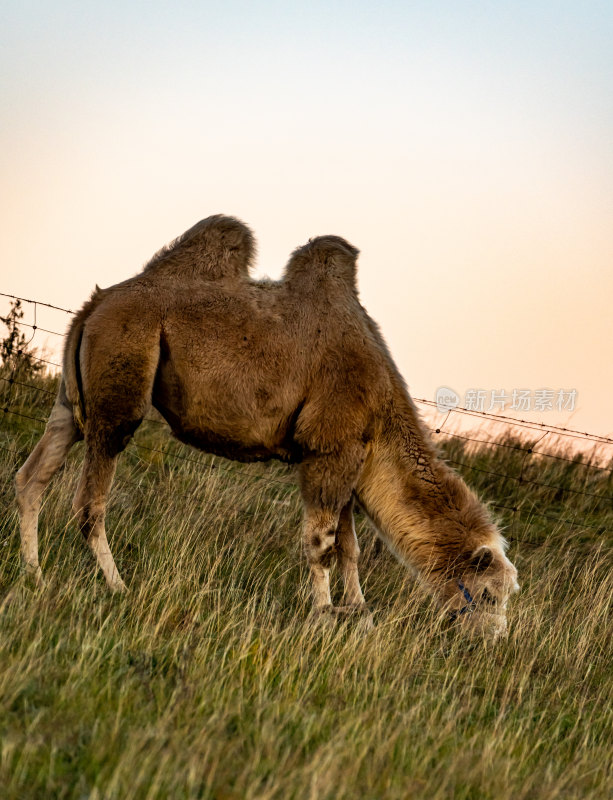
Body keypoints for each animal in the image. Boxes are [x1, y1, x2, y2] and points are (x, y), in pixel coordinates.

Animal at [15, 212, 516, 636]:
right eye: (490, 594)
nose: (495, 638)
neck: (382, 408)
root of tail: (95, 303)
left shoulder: (349, 456)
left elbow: (349, 547)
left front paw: (362, 616)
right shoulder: (328, 448)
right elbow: (322, 543)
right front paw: (323, 615)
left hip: (72, 400)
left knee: (33, 476)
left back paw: (35, 576)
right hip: (120, 384)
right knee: (89, 502)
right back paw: (118, 586)